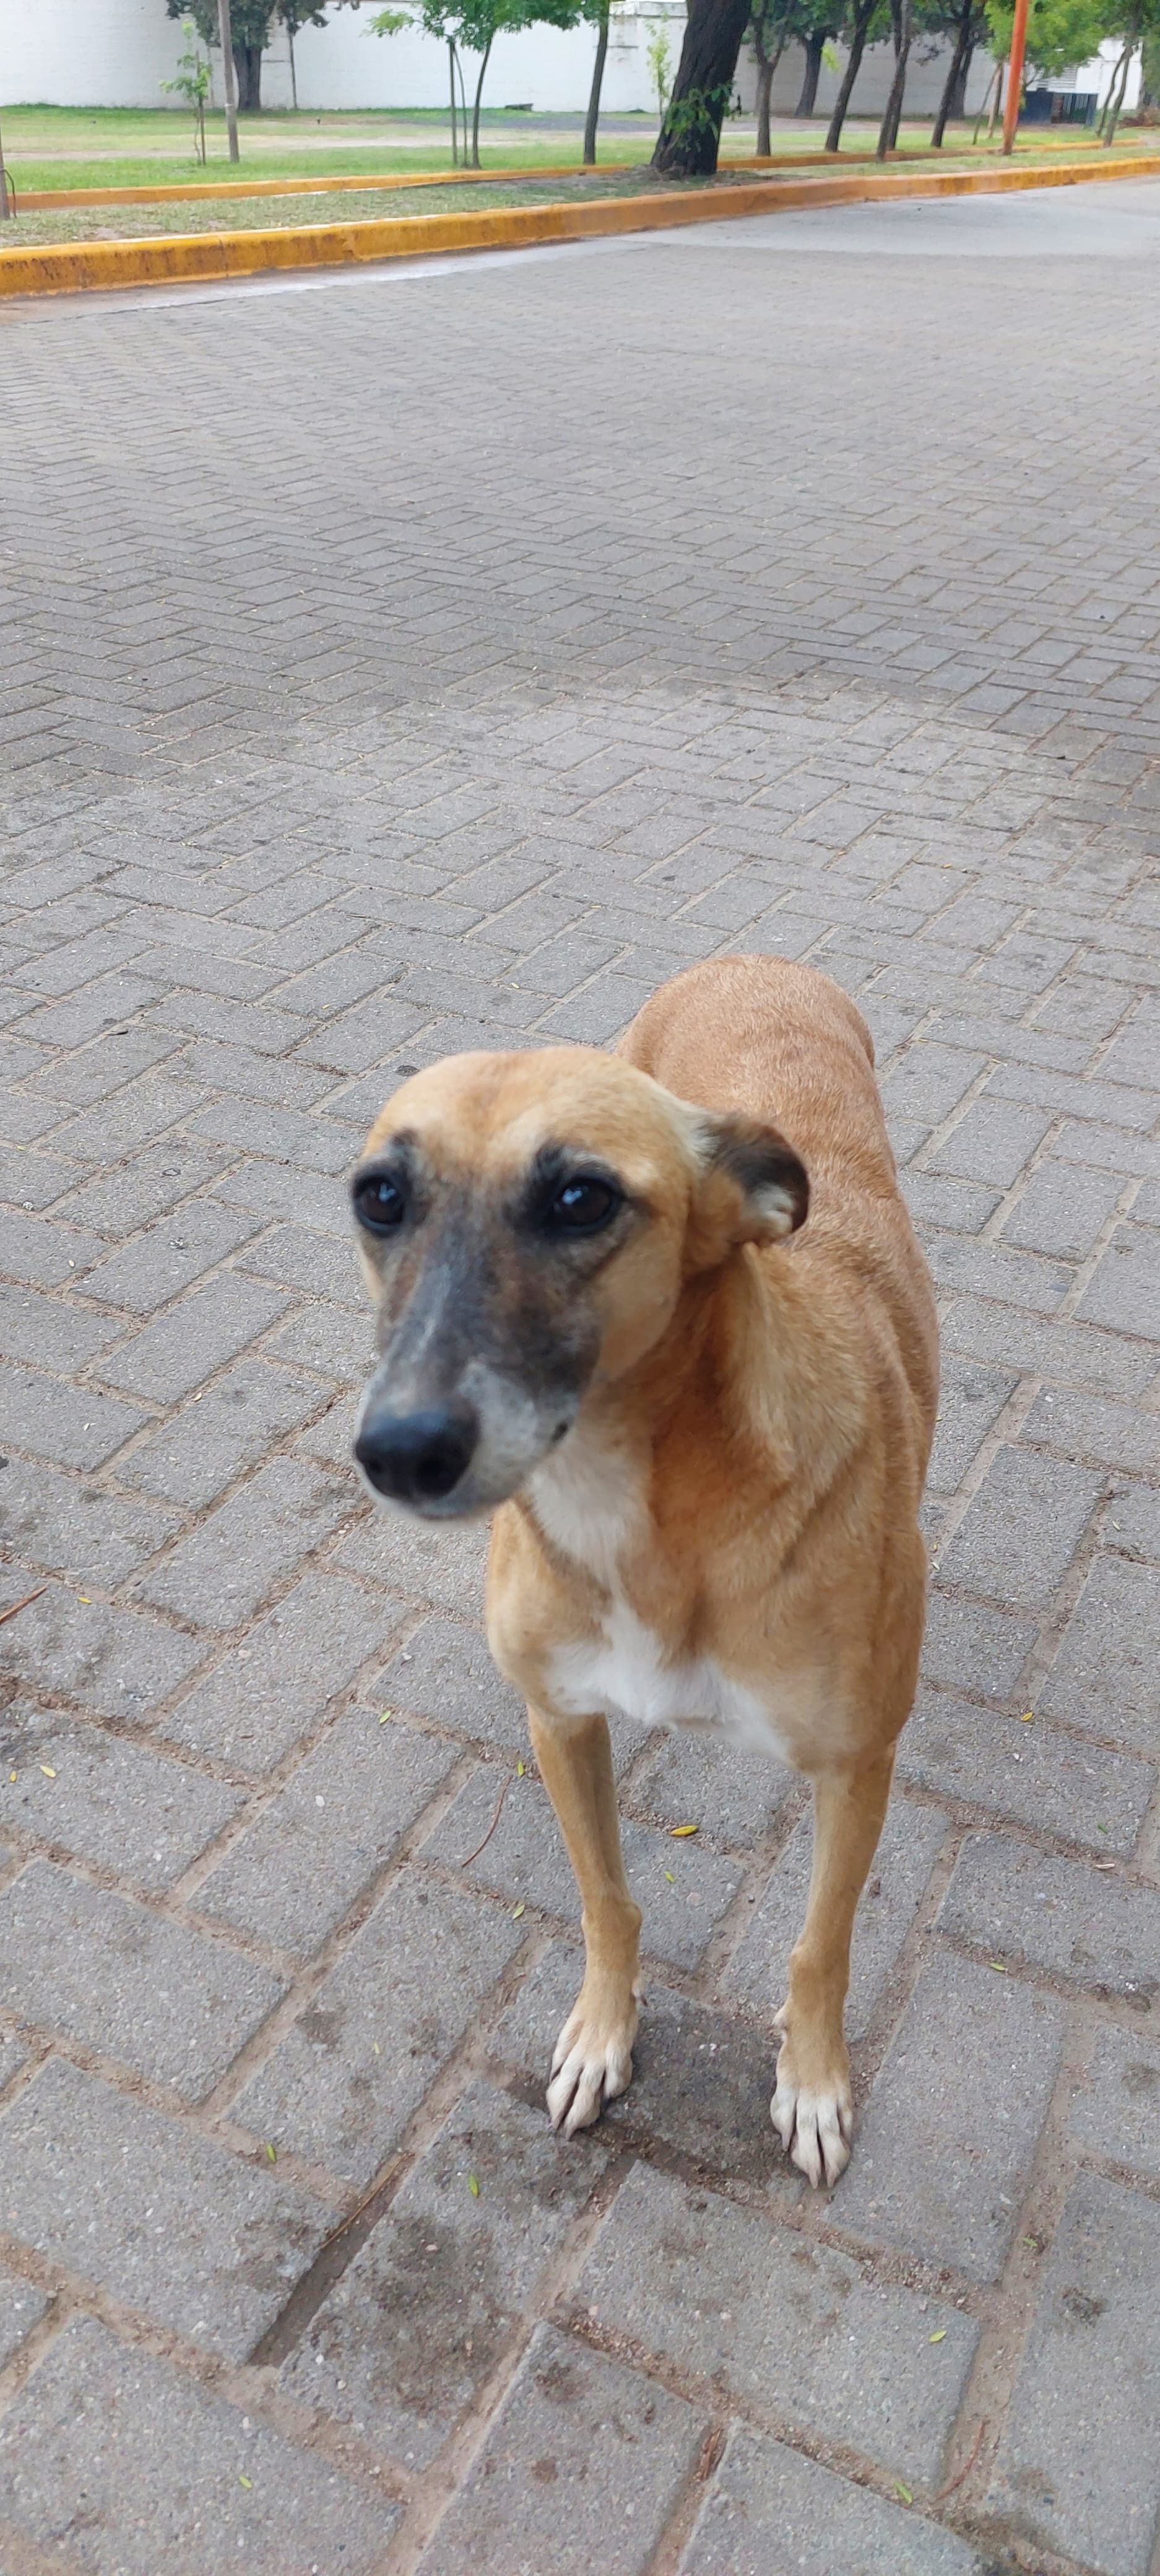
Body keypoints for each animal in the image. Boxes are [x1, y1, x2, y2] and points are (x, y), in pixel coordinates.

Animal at [351, 955, 938, 2186]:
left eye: (581, 1199)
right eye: (379, 1196)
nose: (401, 1450)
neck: (652, 1511)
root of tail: (753, 958)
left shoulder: (854, 1765)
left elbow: (818, 1948)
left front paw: (812, 2082)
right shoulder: (559, 1721)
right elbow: (604, 1900)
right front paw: (600, 2031)